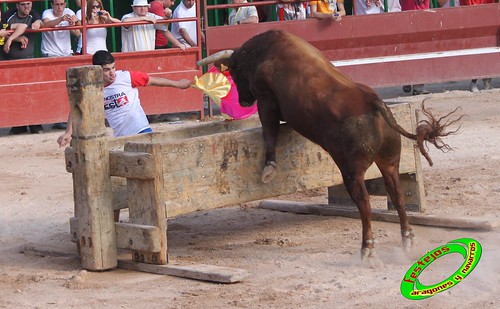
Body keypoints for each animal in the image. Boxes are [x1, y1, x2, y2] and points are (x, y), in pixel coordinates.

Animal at [197, 30, 462, 258]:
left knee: (364, 202)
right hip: (390, 161)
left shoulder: (266, 99)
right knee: (397, 195)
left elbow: (269, 132)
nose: (242, 101)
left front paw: (269, 168)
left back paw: (367, 248)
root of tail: (373, 101)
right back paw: (407, 240)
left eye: (234, 71)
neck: (264, 52)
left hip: (351, 170)